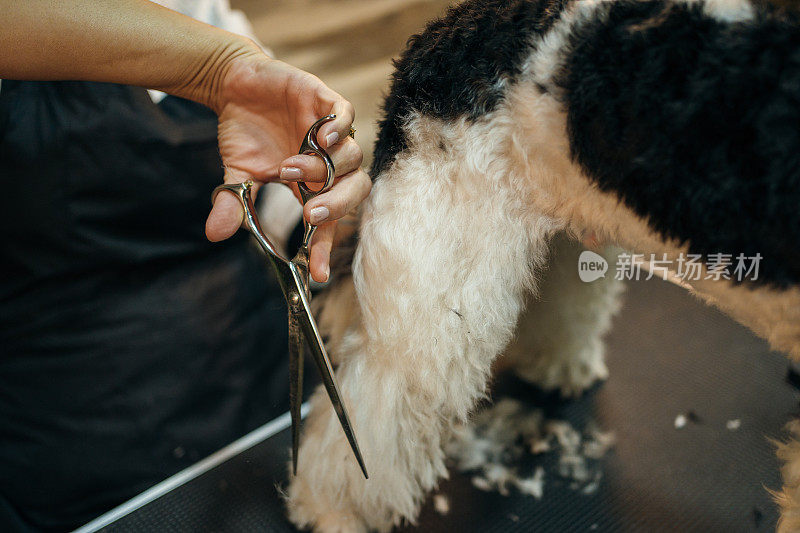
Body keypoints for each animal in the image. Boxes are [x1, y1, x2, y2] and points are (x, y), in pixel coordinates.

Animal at [284, 2, 800, 528]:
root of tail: (442, 31)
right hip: (435, 294)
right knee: (370, 411)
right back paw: (331, 508)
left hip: (563, 237)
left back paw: (559, 369)